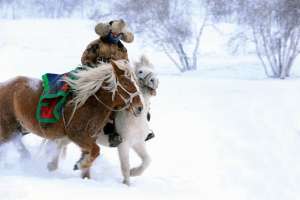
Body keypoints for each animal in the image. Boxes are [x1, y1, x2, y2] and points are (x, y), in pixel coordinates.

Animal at [0, 59, 143, 178]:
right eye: (126, 83)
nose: (140, 107)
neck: (88, 103)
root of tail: (4, 85)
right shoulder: (77, 135)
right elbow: (96, 151)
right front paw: (80, 165)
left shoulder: (88, 138)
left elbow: (91, 155)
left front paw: (82, 169)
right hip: (9, 128)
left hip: (20, 128)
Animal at [44, 55, 159, 185]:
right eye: (140, 71)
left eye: (154, 71)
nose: (154, 80)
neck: (135, 119)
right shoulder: (123, 145)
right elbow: (125, 167)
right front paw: (127, 183)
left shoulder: (138, 143)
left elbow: (147, 161)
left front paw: (134, 172)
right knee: (58, 145)